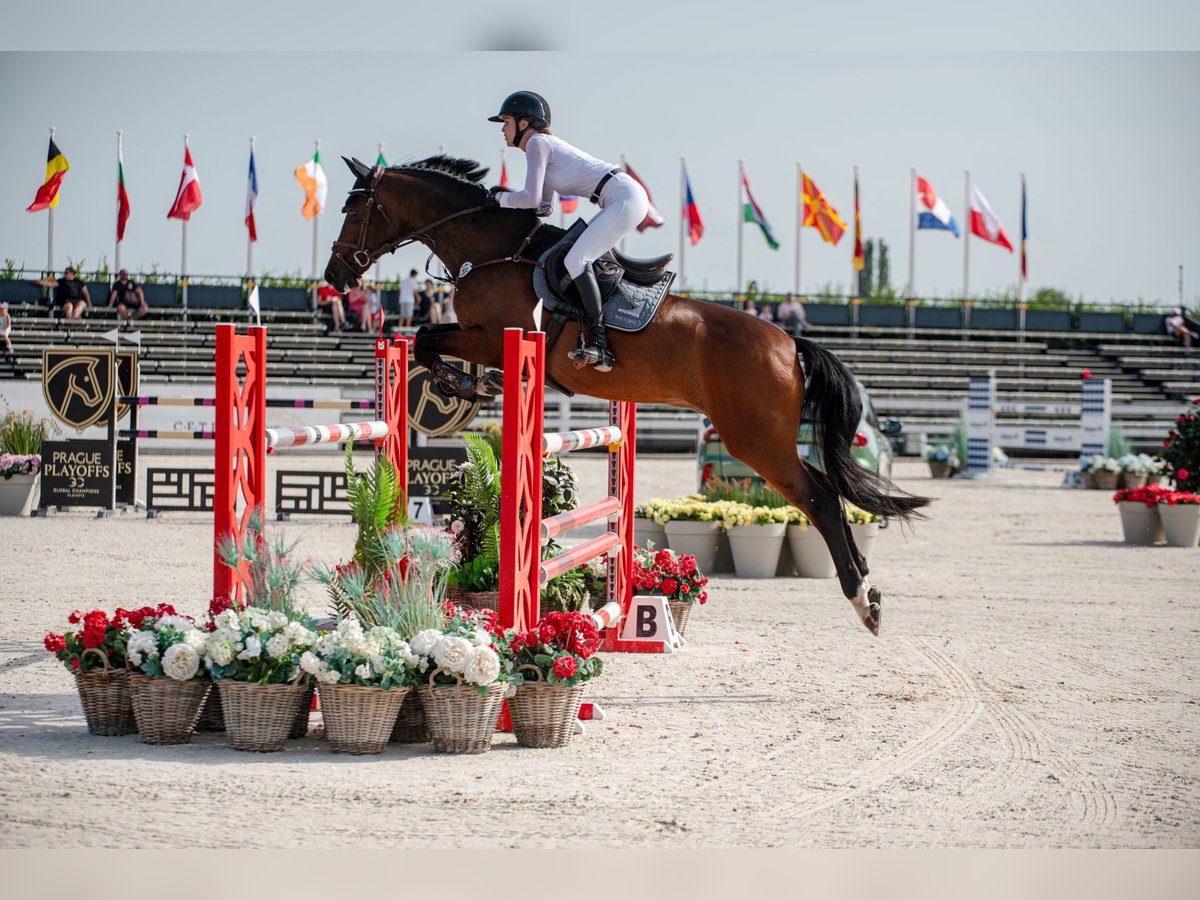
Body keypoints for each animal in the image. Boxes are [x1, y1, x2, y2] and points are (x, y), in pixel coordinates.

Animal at [321, 154, 926, 633]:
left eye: (353, 208)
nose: (334, 276)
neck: (492, 249)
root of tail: (788, 342)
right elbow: (426, 338)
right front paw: (468, 384)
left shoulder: (495, 335)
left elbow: (427, 337)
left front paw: (464, 384)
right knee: (832, 497)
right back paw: (868, 589)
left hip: (758, 443)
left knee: (822, 500)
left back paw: (862, 601)